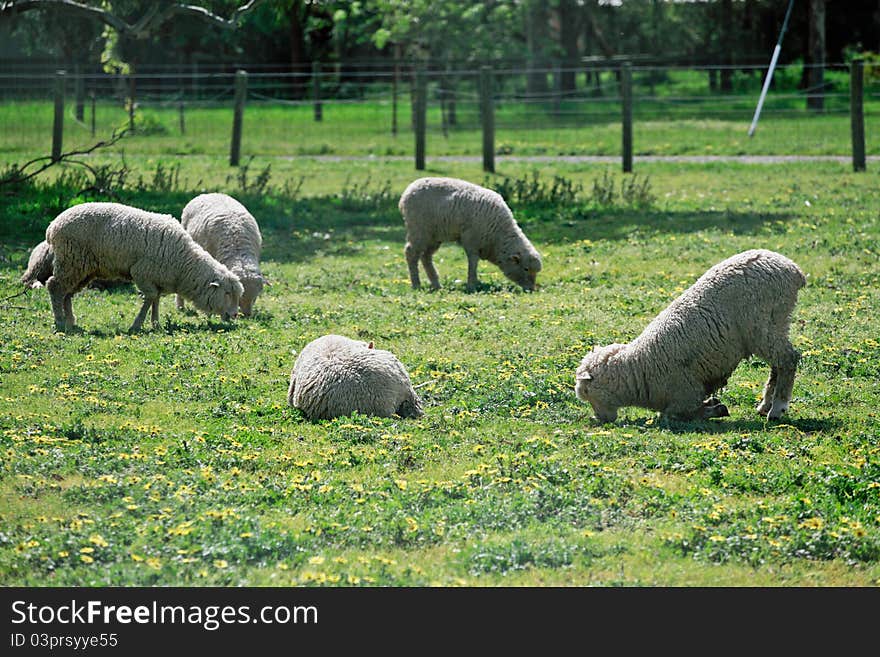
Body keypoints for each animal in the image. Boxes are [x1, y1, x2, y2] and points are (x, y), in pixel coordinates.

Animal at [44, 201, 244, 334]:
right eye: (227, 293)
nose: (235, 315)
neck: (183, 263)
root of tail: (53, 226)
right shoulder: (142, 274)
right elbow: (150, 298)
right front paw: (137, 325)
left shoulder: (158, 279)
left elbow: (156, 300)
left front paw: (156, 323)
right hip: (71, 260)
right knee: (55, 286)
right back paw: (60, 321)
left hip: (82, 267)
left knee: (67, 292)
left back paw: (70, 321)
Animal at [576, 249, 808, 422]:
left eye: (587, 393)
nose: (601, 419)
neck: (638, 368)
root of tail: (794, 269)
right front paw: (713, 404)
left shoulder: (685, 395)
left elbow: (675, 415)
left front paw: (716, 409)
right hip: (776, 323)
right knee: (778, 363)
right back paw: (765, 405)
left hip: (762, 324)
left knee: (788, 359)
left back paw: (777, 408)